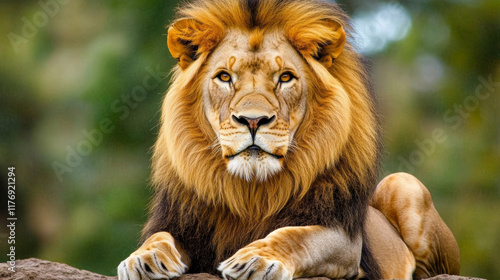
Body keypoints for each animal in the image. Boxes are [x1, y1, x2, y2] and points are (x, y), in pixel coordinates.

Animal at [118, 0, 460, 280]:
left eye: (285, 77)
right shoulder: (182, 224)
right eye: (224, 77)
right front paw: (144, 259)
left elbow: (295, 236)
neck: (251, 191)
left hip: (404, 184)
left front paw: (254, 259)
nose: (252, 120)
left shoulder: (344, 239)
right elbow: (158, 237)